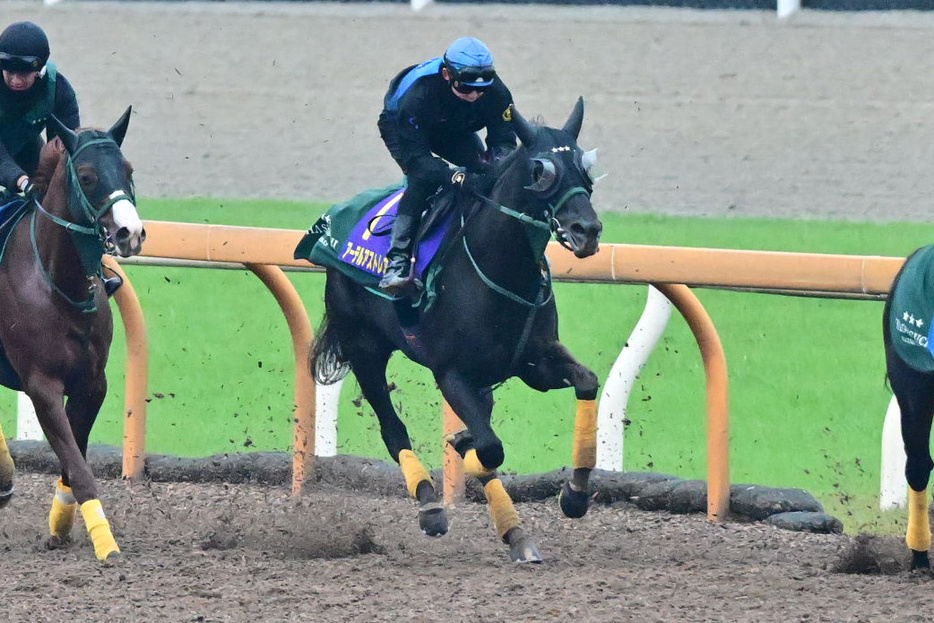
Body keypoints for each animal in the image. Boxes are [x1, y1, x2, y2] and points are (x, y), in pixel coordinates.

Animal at [0, 109, 144, 564]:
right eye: (87, 175)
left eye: (127, 169)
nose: (131, 232)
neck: (58, 286)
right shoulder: (41, 385)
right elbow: (79, 468)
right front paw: (106, 543)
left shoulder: (92, 383)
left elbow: (73, 455)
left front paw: (60, 524)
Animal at [312, 98, 608, 564]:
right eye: (540, 172)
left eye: (585, 169)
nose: (587, 231)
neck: (500, 269)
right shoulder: (452, 373)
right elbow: (489, 448)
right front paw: (464, 456)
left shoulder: (535, 361)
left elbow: (586, 382)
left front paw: (574, 495)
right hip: (364, 348)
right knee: (392, 428)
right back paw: (431, 505)